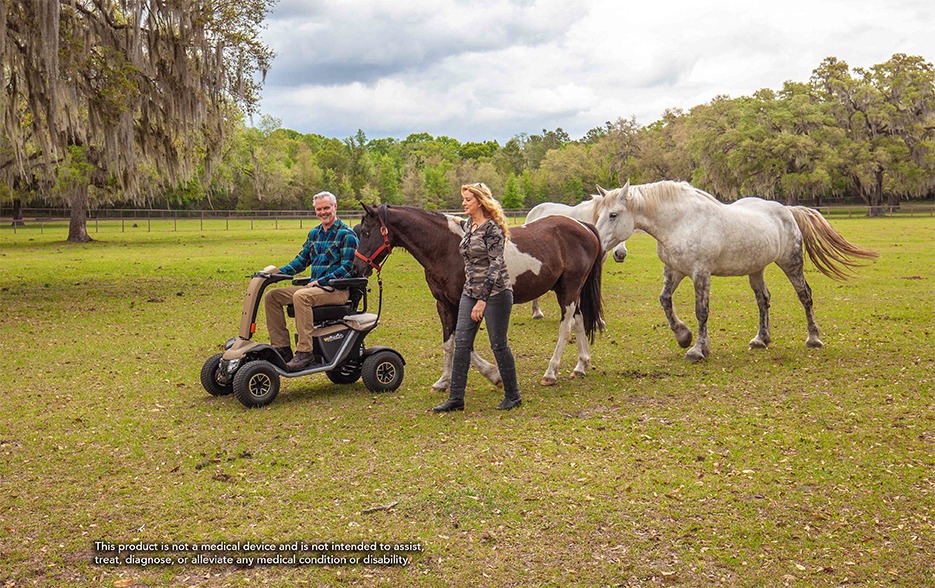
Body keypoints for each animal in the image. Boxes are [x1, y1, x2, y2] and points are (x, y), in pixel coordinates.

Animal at [352, 204, 608, 388]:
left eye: (365, 232)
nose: (356, 267)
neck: (446, 247)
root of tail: (582, 225)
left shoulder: (466, 303)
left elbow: (463, 343)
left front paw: (494, 375)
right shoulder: (444, 305)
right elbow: (449, 343)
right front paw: (444, 381)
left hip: (569, 290)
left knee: (566, 327)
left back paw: (551, 373)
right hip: (569, 291)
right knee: (579, 320)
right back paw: (581, 366)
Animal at [596, 181, 880, 360]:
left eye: (613, 215)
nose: (597, 243)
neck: (680, 221)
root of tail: (786, 210)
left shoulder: (701, 273)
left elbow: (701, 311)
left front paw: (697, 350)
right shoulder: (674, 270)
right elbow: (665, 300)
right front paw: (683, 336)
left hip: (791, 263)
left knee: (805, 296)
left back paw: (813, 338)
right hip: (756, 269)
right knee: (763, 300)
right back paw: (761, 339)